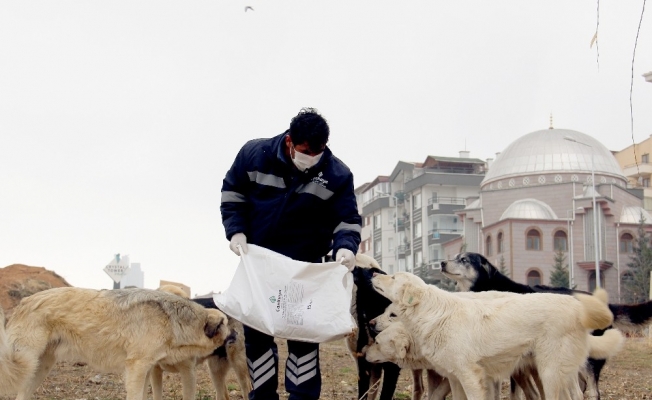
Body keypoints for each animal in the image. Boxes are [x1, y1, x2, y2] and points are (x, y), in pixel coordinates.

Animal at [0, 287, 231, 400]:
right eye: (228, 326)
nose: (235, 337)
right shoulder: (137, 368)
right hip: (25, 361)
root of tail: (24, 302)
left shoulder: (147, 370)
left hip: (39, 367)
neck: (172, 318)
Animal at [370, 271, 613, 400]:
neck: (433, 314)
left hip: (550, 373)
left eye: (392, 277)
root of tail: (578, 307)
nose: (373, 272)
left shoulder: (471, 376)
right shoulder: (454, 378)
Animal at [441, 252, 637, 399]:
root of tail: (605, 305)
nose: (442, 262)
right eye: (455, 257)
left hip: (585, 362)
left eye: (464, 259)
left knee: (591, 392)